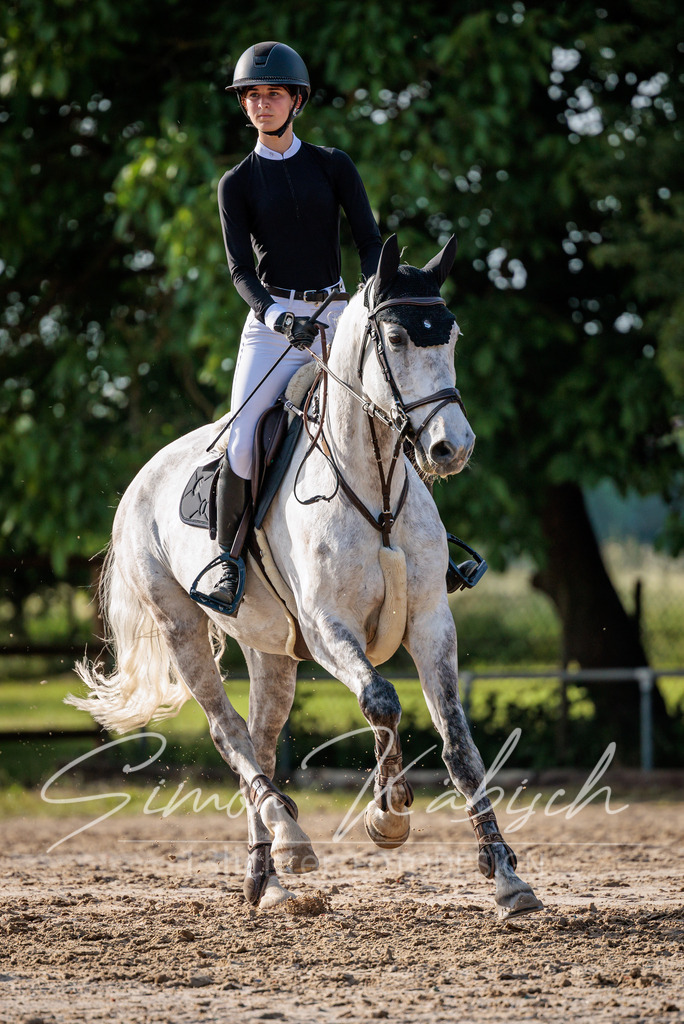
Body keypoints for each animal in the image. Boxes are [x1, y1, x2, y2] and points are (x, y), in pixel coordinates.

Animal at [68, 234, 543, 920]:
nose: (451, 449)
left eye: (451, 335)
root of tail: (139, 482)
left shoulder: (431, 622)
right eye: (396, 338)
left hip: (271, 651)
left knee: (261, 740)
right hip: (182, 627)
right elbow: (381, 701)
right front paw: (389, 817)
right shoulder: (327, 627)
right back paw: (291, 840)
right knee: (228, 734)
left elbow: (458, 743)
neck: (376, 491)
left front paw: (506, 876)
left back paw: (266, 878)